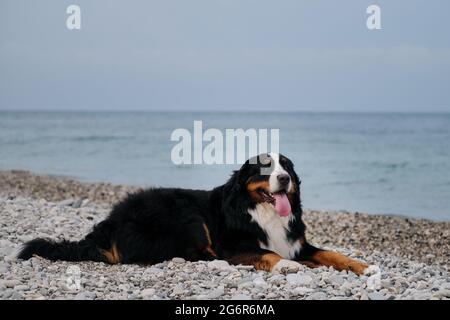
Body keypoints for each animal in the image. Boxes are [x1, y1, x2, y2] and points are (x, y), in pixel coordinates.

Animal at [18, 154, 370, 274]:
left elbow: (334, 254)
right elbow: (269, 254)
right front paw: (287, 265)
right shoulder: (234, 246)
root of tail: (110, 221)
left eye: (287, 167)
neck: (262, 213)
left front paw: (364, 266)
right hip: (189, 216)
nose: (284, 179)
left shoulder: (298, 242)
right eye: (264, 167)